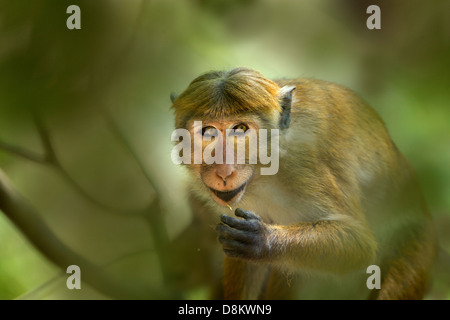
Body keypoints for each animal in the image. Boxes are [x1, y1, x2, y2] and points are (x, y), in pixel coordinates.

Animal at [169, 67, 436, 300]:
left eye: (240, 129)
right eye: (208, 132)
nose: (224, 170)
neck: (263, 173)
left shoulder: (303, 165)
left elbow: (358, 242)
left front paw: (263, 241)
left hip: (413, 246)